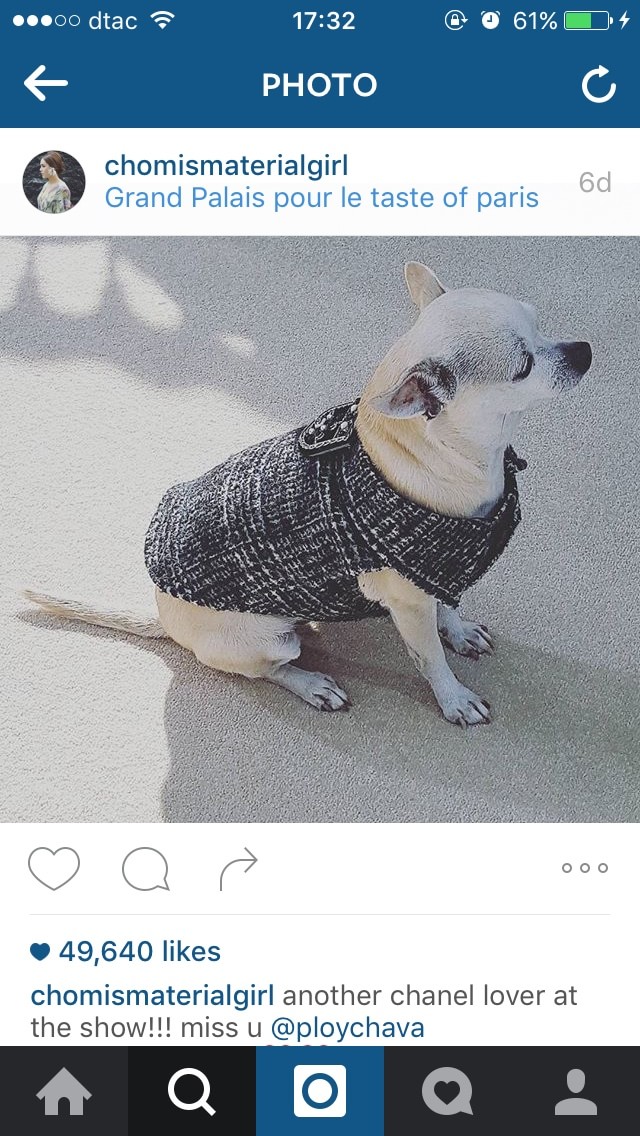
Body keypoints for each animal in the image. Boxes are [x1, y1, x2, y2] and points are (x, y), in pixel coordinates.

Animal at [25, 262, 592, 726]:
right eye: (523, 366)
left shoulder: (439, 571)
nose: (584, 351)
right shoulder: (410, 601)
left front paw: (460, 630)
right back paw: (312, 684)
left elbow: (449, 608)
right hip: (270, 641)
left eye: (540, 321)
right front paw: (453, 698)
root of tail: (163, 616)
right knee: (270, 671)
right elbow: (429, 656)